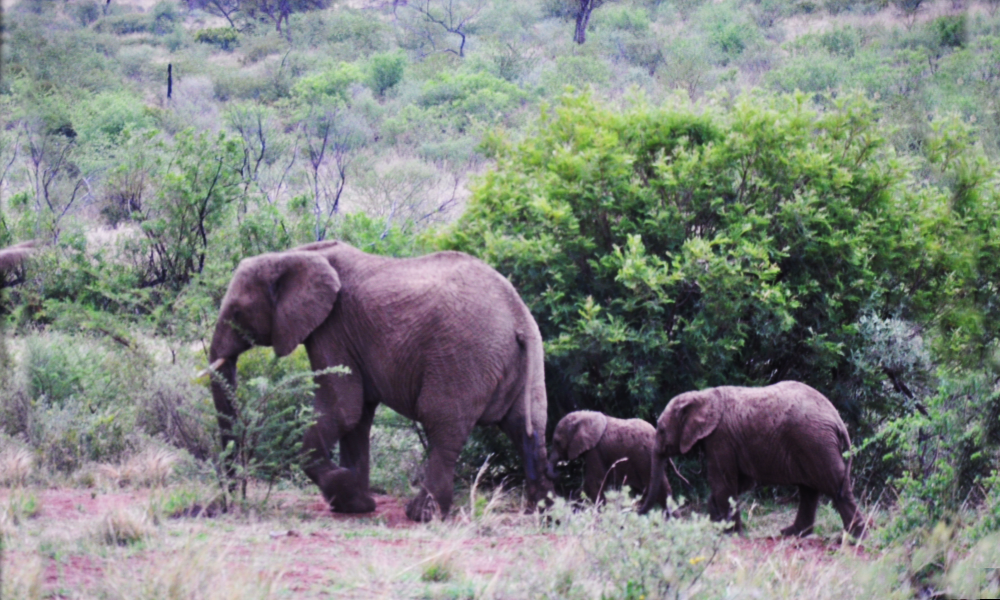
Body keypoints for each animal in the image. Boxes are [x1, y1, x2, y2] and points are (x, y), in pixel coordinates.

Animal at [206, 239, 552, 520]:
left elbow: (342, 408)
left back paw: (421, 514)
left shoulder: (332, 328)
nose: (227, 502)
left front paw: (345, 493)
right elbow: (358, 416)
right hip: (525, 361)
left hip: (463, 357)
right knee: (527, 427)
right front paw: (357, 504)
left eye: (237, 313)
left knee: (442, 426)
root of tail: (518, 316)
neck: (294, 254)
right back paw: (541, 513)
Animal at [640, 382, 868, 540]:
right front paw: (717, 525)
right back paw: (791, 533)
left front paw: (730, 534)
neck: (702, 396)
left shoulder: (720, 438)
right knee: (810, 490)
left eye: (661, 430)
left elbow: (722, 482)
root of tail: (837, 419)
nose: (638, 510)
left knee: (834, 487)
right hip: (811, 443)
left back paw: (855, 538)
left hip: (815, 441)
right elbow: (740, 483)